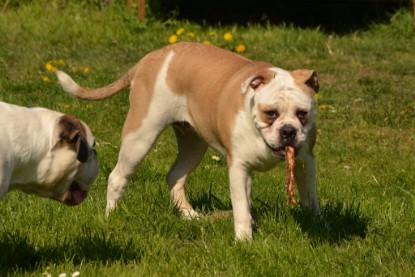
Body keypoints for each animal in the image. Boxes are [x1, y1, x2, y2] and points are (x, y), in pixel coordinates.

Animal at [57, 41, 320, 239]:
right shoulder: (239, 167)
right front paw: (244, 240)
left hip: (193, 145)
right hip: (140, 137)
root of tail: (149, 59)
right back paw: (111, 215)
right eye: (270, 113)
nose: (288, 131)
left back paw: (189, 216)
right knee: (117, 177)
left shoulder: (306, 161)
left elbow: (310, 198)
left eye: (302, 113)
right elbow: (241, 208)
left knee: (175, 176)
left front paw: (319, 225)